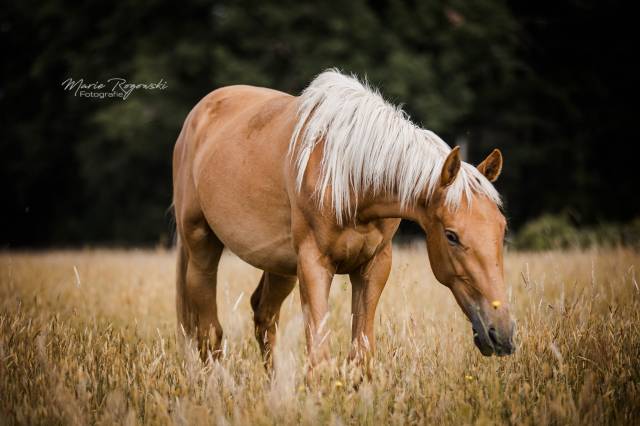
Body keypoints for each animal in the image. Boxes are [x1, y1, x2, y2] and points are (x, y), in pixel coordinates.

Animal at [171, 68, 516, 368]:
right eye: (451, 236)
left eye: (502, 231)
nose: (502, 333)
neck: (350, 177)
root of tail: (198, 115)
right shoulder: (314, 264)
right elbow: (319, 356)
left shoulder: (374, 266)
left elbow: (361, 354)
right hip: (201, 245)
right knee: (209, 332)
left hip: (280, 265)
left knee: (264, 316)